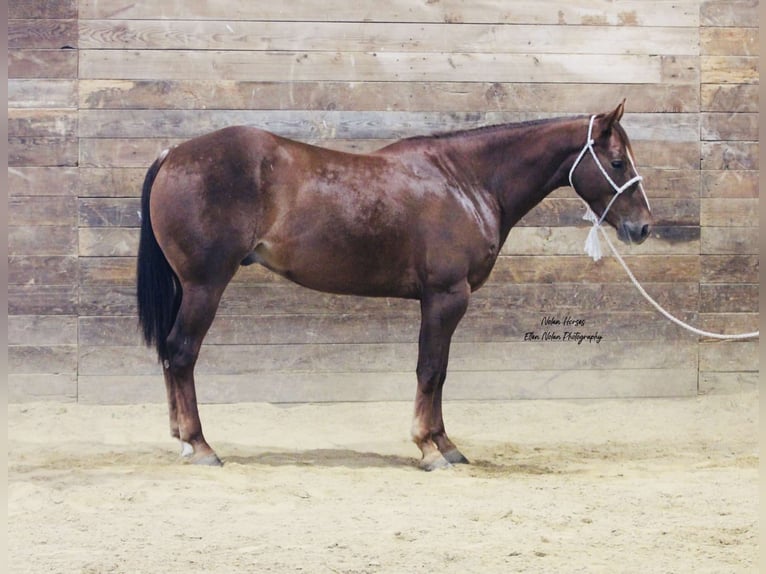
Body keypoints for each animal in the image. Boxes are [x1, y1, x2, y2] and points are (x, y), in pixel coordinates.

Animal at [136, 100, 656, 472]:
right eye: (615, 161)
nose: (644, 228)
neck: (466, 182)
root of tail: (173, 153)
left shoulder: (444, 301)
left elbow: (440, 373)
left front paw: (446, 445)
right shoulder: (445, 297)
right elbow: (430, 370)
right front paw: (429, 449)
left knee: (170, 356)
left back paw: (182, 441)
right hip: (205, 286)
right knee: (182, 352)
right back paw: (201, 446)